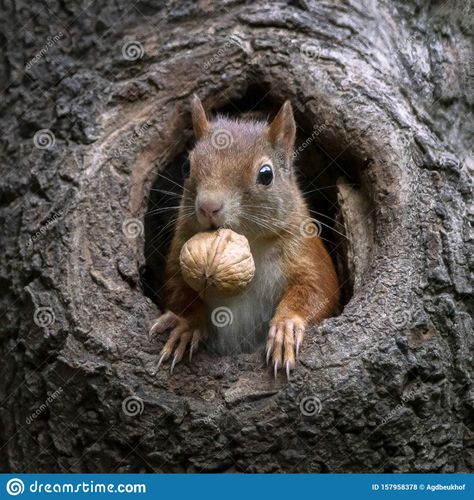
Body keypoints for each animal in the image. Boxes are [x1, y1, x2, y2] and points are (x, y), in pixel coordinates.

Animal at [150, 94, 338, 376]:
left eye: (266, 174)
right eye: (185, 166)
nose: (208, 206)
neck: (250, 242)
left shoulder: (305, 251)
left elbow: (319, 289)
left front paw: (286, 328)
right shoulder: (179, 248)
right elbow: (177, 290)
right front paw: (187, 326)